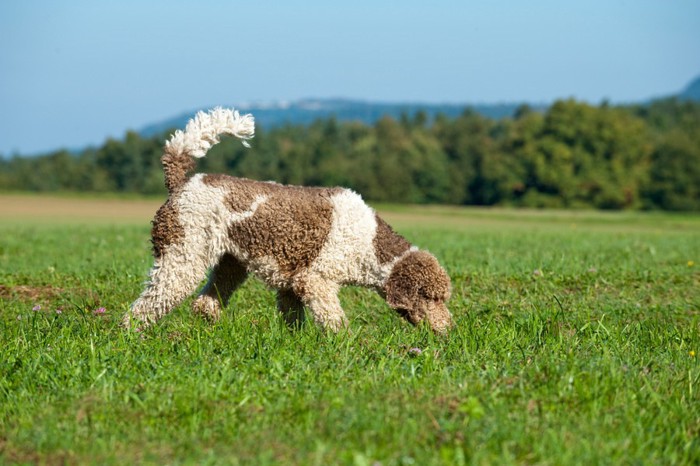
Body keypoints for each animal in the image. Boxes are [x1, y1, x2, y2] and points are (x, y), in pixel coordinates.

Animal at [124, 107, 454, 334]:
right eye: (432, 298)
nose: (450, 330)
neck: (370, 245)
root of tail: (182, 181)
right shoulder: (315, 281)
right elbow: (335, 321)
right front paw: (346, 346)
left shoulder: (291, 285)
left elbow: (293, 321)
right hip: (182, 258)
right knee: (148, 303)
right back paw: (130, 336)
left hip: (230, 263)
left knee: (204, 304)